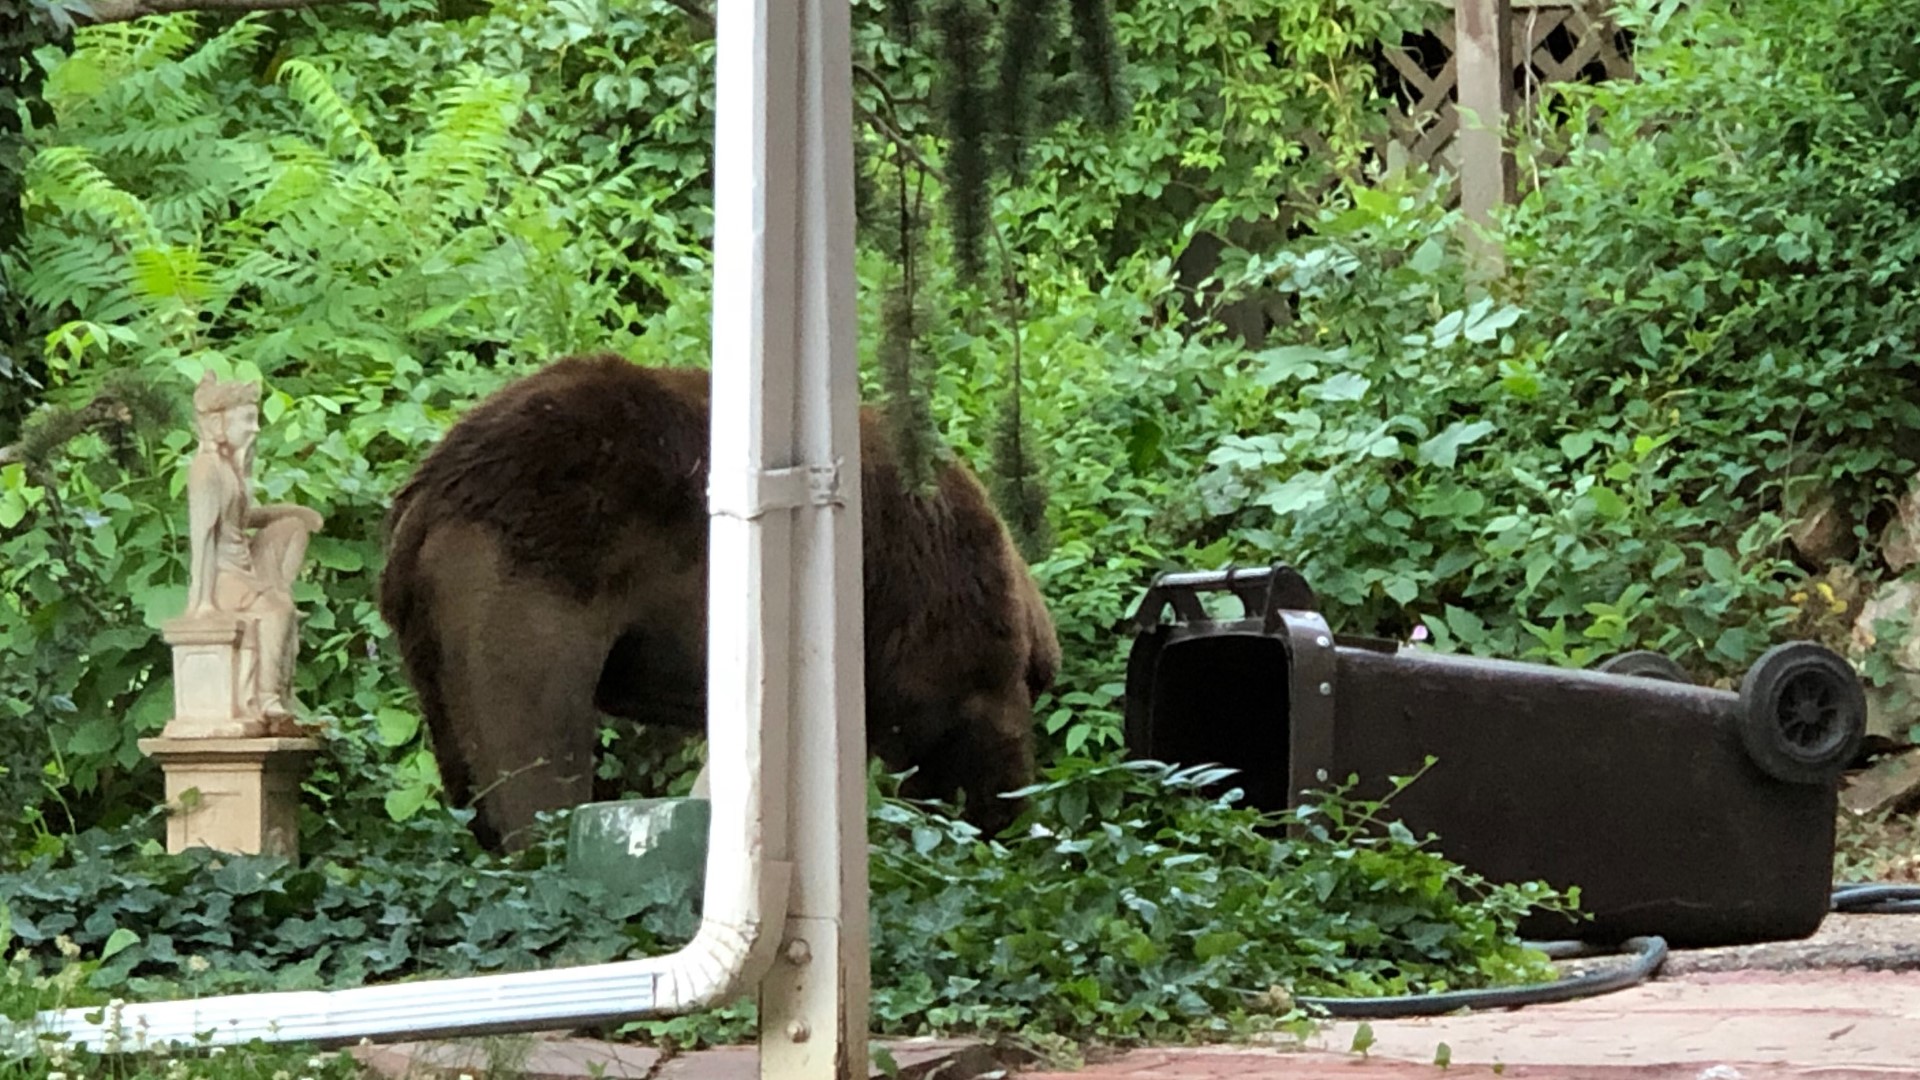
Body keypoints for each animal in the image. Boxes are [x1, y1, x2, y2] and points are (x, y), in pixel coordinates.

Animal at [377, 354, 1061, 850]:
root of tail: (428, 495)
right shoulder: (933, 620)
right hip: (529, 584)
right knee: (531, 757)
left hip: (434, 642)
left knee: (471, 769)